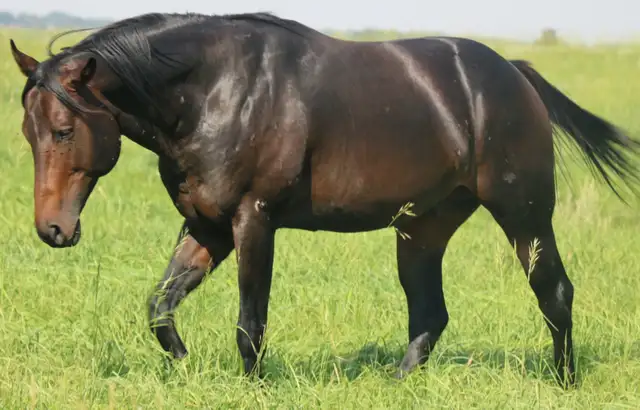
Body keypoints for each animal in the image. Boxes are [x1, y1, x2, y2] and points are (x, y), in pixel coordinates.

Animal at [9, 12, 639, 387]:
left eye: (63, 130)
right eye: (27, 133)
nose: (52, 230)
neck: (214, 92)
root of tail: (515, 73)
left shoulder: (253, 221)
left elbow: (250, 322)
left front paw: (252, 387)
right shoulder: (206, 227)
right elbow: (160, 307)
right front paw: (185, 365)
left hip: (524, 214)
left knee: (554, 292)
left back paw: (564, 381)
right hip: (421, 228)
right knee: (429, 312)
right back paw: (396, 385)